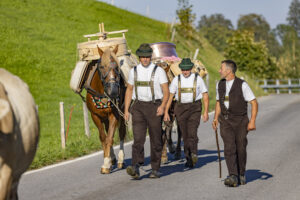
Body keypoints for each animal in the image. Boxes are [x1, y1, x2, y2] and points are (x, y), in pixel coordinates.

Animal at [85, 45, 126, 173]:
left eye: (117, 67)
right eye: (102, 66)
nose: (113, 91)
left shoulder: (115, 115)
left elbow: (110, 138)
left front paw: (106, 163)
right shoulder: (95, 116)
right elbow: (103, 138)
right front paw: (107, 159)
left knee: (121, 133)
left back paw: (120, 160)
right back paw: (112, 158)